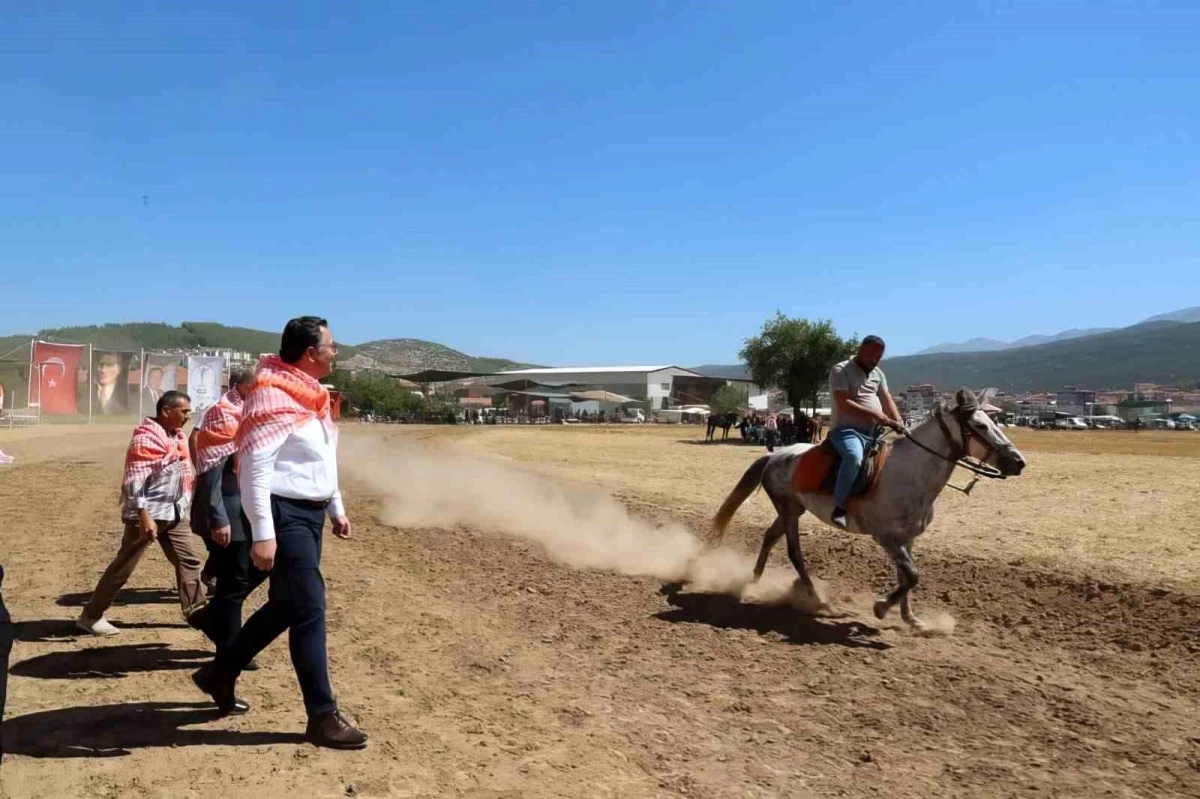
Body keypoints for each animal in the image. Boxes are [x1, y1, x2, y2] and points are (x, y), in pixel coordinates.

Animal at [705, 388, 1027, 623]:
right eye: (980, 425)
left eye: (994, 421)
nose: (1018, 462)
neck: (909, 474)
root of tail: (774, 456)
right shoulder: (886, 538)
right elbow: (912, 576)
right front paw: (882, 608)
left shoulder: (906, 539)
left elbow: (907, 576)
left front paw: (910, 618)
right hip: (788, 510)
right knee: (794, 552)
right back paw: (816, 599)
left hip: (794, 509)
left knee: (770, 537)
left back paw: (754, 581)